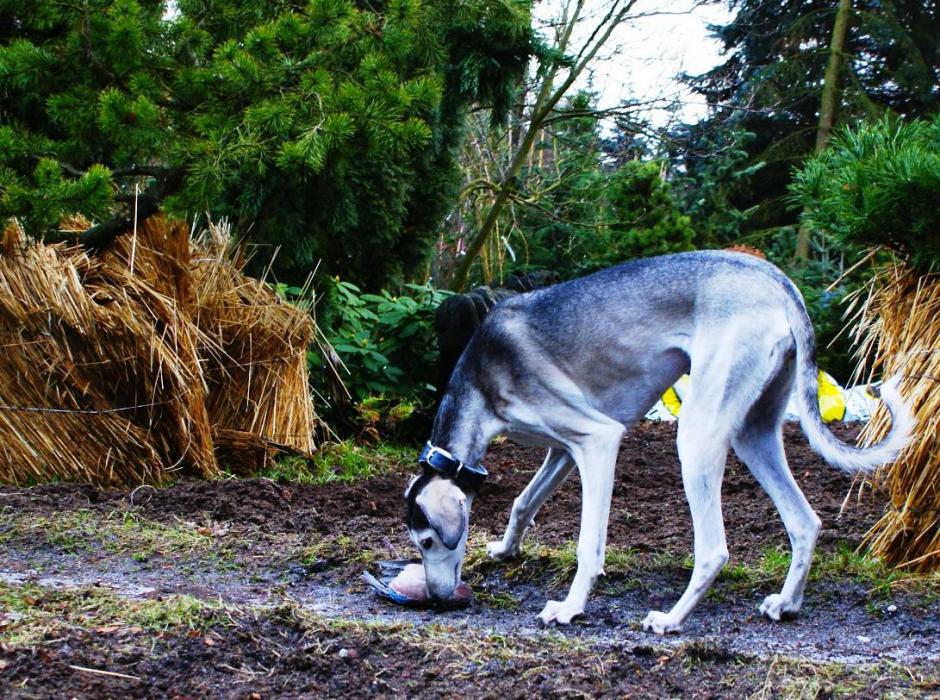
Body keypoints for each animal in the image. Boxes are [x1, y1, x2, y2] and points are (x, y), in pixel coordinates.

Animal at [404, 252, 912, 636]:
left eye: (428, 541)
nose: (437, 599)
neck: (481, 378)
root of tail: (775, 280)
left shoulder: (598, 440)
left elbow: (589, 545)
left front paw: (570, 607)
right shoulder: (563, 451)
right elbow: (522, 503)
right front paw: (506, 550)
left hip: (696, 437)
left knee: (714, 550)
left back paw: (671, 619)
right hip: (754, 433)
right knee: (805, 522)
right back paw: (786, 603)